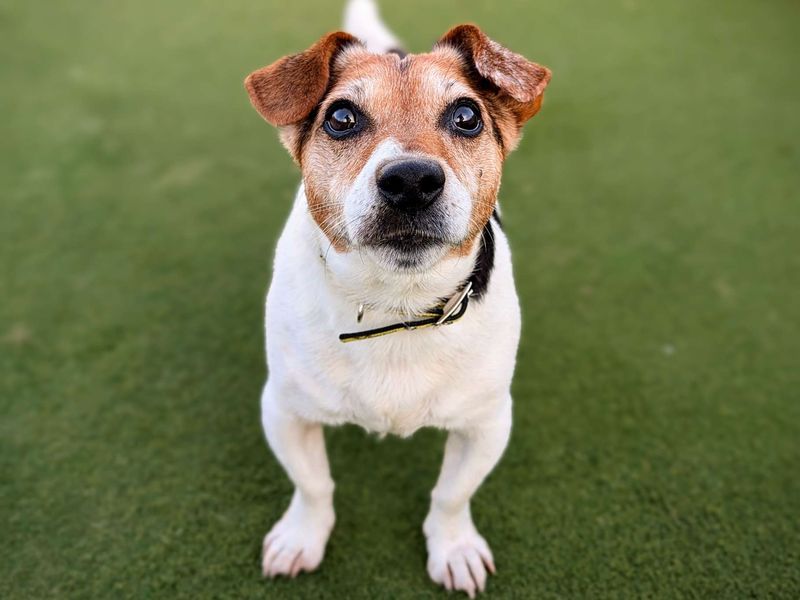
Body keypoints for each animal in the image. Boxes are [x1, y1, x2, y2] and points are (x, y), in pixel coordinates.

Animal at [244, 0, 552, 592]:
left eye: (466, 116)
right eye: (341, 118)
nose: (411, 180)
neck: (397, 305)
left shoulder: (487, 423)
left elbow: (452, 493)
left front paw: (453, 547)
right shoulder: (285, 409)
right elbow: (313, 485)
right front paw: (302, 536)